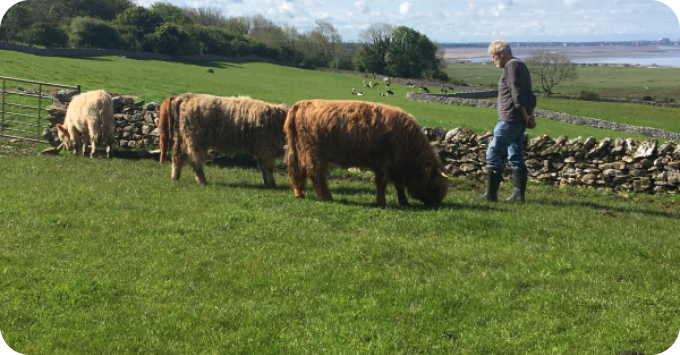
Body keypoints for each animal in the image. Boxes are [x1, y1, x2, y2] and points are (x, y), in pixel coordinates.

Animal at [284, 99, 448, 209]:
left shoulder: (395, 166)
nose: (437, 203)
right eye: (435, 182)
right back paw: (328, 197)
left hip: (302, 151)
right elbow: (382, 183)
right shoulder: (384, 163)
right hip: (315, 152)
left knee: (299, 171)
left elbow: (398, 185)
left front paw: (404, 202)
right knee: (315, 174)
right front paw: (382, 202)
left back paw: (300, 193)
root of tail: (303, 103)